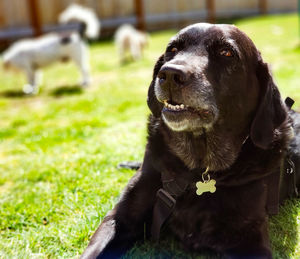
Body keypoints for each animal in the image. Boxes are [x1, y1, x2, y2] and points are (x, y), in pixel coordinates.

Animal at [82, 23, 300, 258]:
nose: (169, 74)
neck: (196, 168)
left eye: (226, 53)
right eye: (173, 49)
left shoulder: (250, 243)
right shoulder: (119, 220)